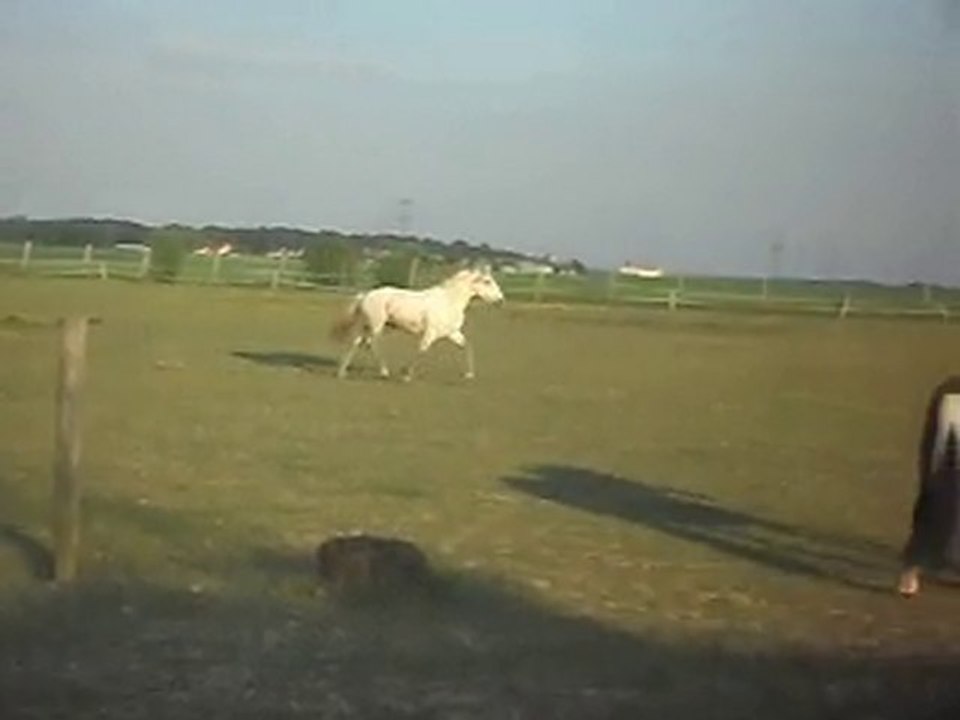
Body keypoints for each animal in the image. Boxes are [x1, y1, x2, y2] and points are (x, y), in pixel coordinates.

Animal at [329, 264, 504, 381]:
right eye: (487, 281)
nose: (501, 300)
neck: (449, 301)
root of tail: (365, 295)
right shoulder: (431, 333)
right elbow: (422, 350)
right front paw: (406, 374)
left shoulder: (452, 333)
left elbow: (467, 346)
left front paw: (469, 375)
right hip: (376, 325)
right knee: (372, 344)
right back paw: (384, 372)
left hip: (365, 325)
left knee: (356, 342)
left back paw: (341, 372)